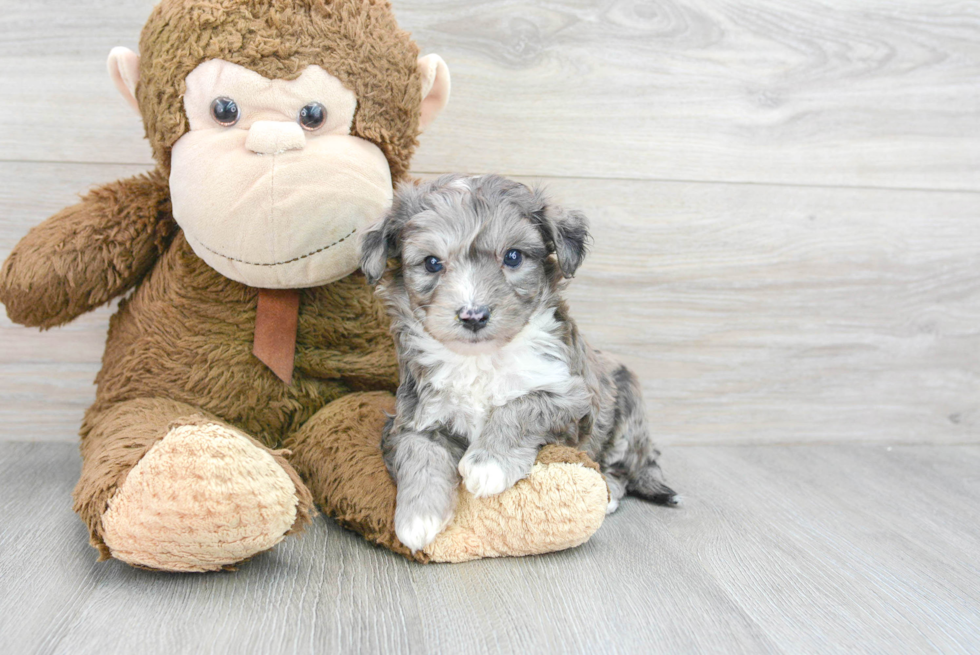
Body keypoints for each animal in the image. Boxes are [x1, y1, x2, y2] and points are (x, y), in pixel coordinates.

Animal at [360, 174, 672, 552]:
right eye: (432, 263)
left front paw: (487, 464)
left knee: (624, 468)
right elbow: (418, 452)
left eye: (512, 257)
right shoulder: (413, 416)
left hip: (627, 407)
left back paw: (609, 491)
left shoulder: (571, 395)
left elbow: (522, 406)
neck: (480, 359)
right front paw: (417, 517)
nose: (473, 315)